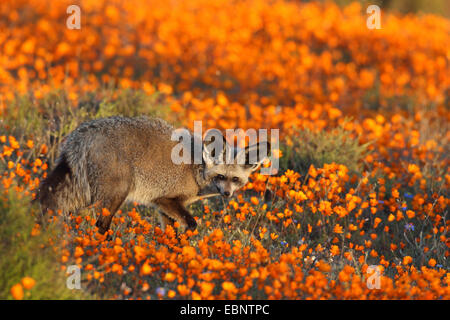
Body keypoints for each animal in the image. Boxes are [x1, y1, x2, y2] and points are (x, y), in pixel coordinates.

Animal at [38, 116, 268, 234]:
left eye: (235, 179)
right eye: (220, 177)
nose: (227, 194)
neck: (195, 168)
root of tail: (85, 130)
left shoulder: (165, 207)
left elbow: (170, 235)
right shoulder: (164, 199)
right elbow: (192, 224)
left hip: (87, 195)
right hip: (116, 194)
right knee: (100, 225)